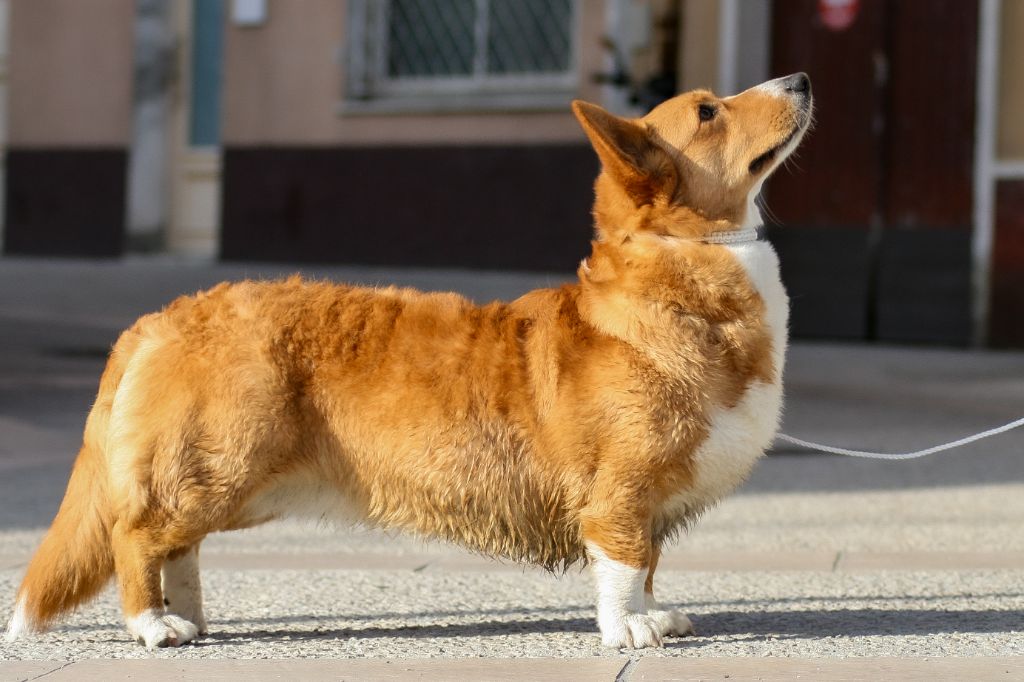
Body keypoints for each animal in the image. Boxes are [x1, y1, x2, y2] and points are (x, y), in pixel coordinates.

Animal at [4, 74, 811, 647]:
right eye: (708, 112)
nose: (801, 79)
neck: (675, 263)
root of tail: (160, 318)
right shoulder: (620, 492)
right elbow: (623, 565)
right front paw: (630, 632)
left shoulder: (646, 503)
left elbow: (648, 568)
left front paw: (657, 614)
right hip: (220, 465)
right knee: (135, 535)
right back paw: (153, 627)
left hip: (229, 482)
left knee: (180, 548)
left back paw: (194, 621)